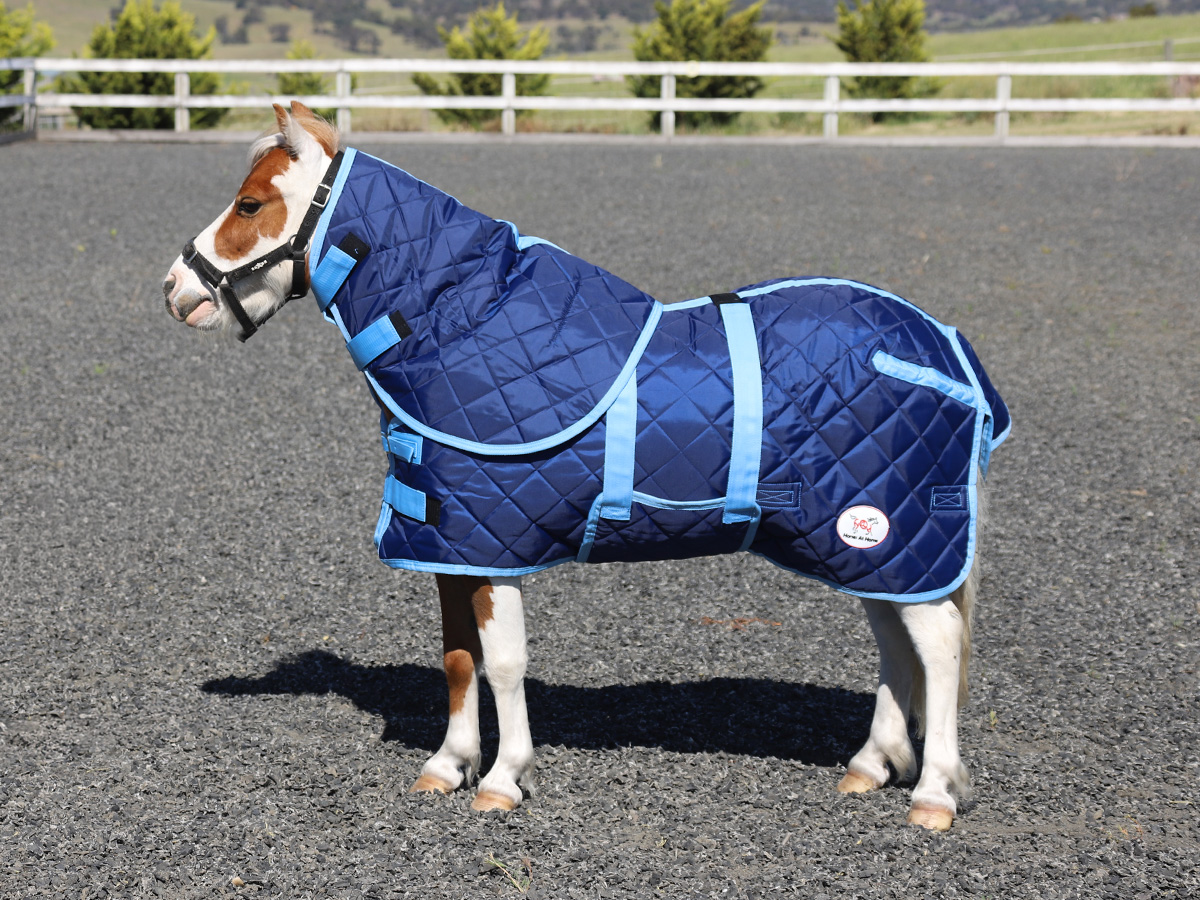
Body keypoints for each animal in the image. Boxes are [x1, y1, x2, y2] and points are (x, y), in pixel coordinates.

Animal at [163, 101, 1010, 831]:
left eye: (248, 205)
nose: (175, 290)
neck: (462, 321)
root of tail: (945, 347)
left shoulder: (494, 547)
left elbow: (504, 664)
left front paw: (504, 780)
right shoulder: (448, 543)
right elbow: (458, 659)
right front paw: (448, 766)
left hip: (891, 533)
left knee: (936, 647)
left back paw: (934, 794)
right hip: (870, 547)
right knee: (897, 644)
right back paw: (872, 765)